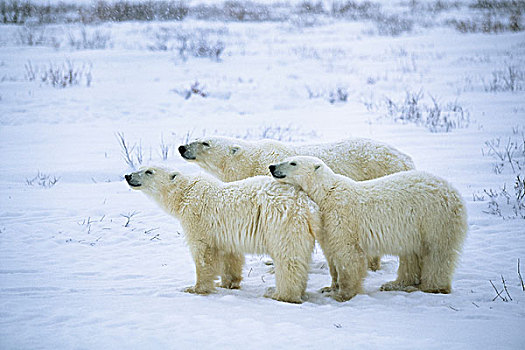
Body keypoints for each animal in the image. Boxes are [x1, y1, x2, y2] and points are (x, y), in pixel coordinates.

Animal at [125, 167, 318, 304]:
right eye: (141, 167)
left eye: (149, 171)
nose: (128, 176)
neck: (185, 193)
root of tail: (306, 203)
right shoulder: (225, 233)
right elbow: (229, 255)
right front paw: (227, 283)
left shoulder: (197, 219)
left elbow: (203, 254)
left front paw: (195, 288)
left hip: (282, 222)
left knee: (288, 258)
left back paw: (279, 294)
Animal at [268, 157, 464, 302]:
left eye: (293, 162)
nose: (271, 166)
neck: (326, 194)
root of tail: (454, 192)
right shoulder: (325, 224)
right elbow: (331, 255)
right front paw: (329, 287)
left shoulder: (342, 217)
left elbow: (347, 255)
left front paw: (343, 294)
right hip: (416, 229)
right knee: (411, 255)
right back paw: (395, 284)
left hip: (434, 219)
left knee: (437, 254)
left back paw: (431, 287)